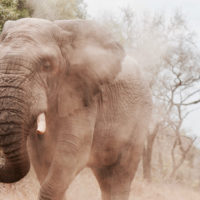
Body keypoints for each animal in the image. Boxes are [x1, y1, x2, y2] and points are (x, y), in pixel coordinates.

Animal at [0, 17, 152, 200]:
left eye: (46, 66)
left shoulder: (84, 96)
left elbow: (72, 153)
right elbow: (40, 158)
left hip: (140, 119)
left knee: (121, 176)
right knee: (105, 178)